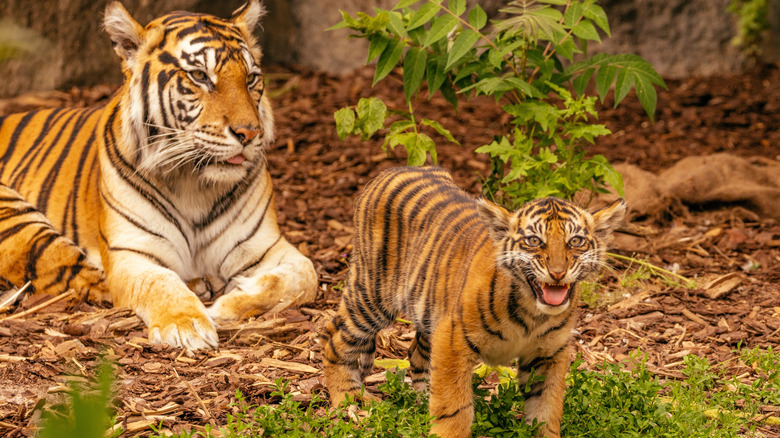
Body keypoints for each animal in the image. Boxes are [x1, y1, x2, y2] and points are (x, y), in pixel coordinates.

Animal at [0, 1, 317, 350]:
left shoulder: (265, 245)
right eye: (199, 76)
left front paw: (228, 303)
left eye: (251, 78)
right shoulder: (131, 254)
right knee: (76, 273)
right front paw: (187, 325)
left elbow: (305, 275)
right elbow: (158, 281)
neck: (195, 183)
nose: (249, 133)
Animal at [321, 166, 626, 438]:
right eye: (533, 240)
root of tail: (391, 169)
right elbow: (453, 406)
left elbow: (546, 409)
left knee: (417, 353)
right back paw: (349, 399)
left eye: (576, 241)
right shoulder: (453, 341)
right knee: (335, 335)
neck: (533, 313)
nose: (558, 272)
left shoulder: (550, 354)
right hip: (373, 295)